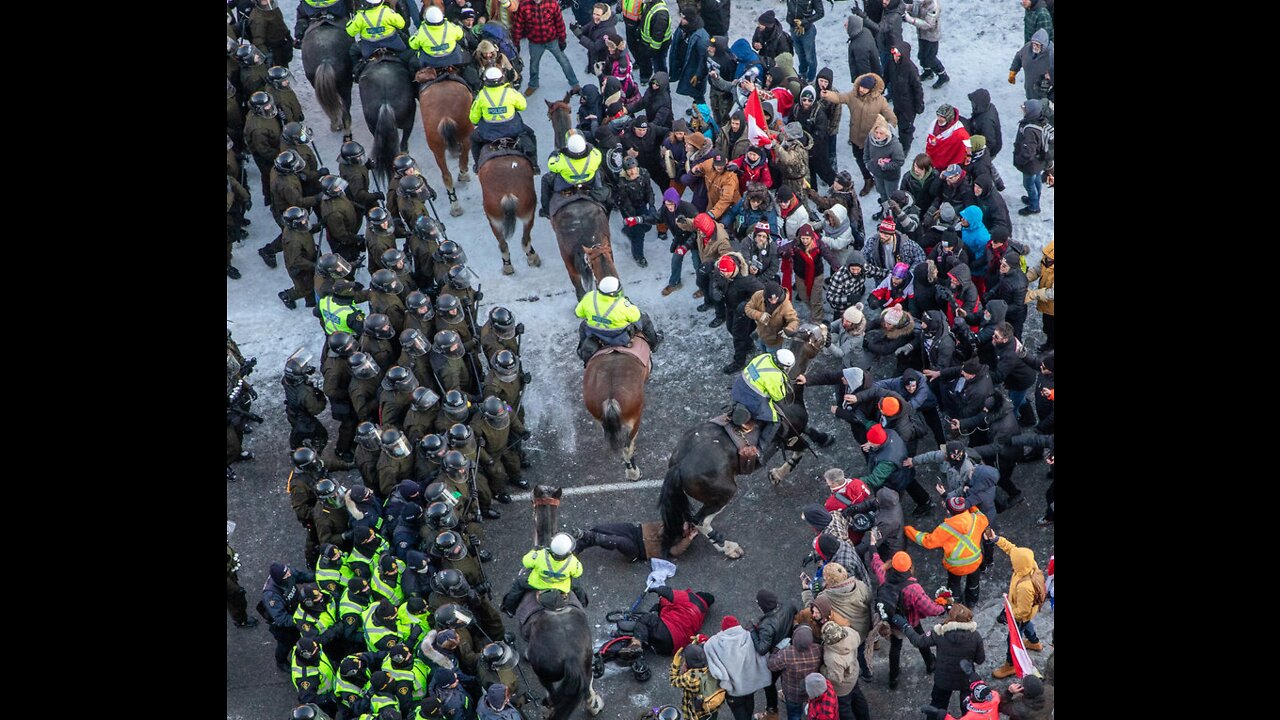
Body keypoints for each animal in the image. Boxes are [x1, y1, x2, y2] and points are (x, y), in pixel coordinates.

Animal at [419, 79, 476, 215]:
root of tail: (444, 115)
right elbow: (463, 159)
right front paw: (463, 175)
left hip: (437, 148)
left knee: (446, 176)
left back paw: (455, 206)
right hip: (467, 134)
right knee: (463, 158)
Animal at [519, 484, 604, 712]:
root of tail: (571, 658)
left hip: (544, 675)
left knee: (553, 694)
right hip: (586, 664)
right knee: (587, 689)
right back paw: (594, 704)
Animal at [655, 322, 834, 558]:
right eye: (817, 334)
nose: (827, 325)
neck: (789, 392)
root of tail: (679, 465)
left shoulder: (796, 429)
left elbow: (810, 433)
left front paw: (824, 437)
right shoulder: (789, 434)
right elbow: (801, 450)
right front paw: (778, 474)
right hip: (723, 493)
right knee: (700, 521)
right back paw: (728, 547)